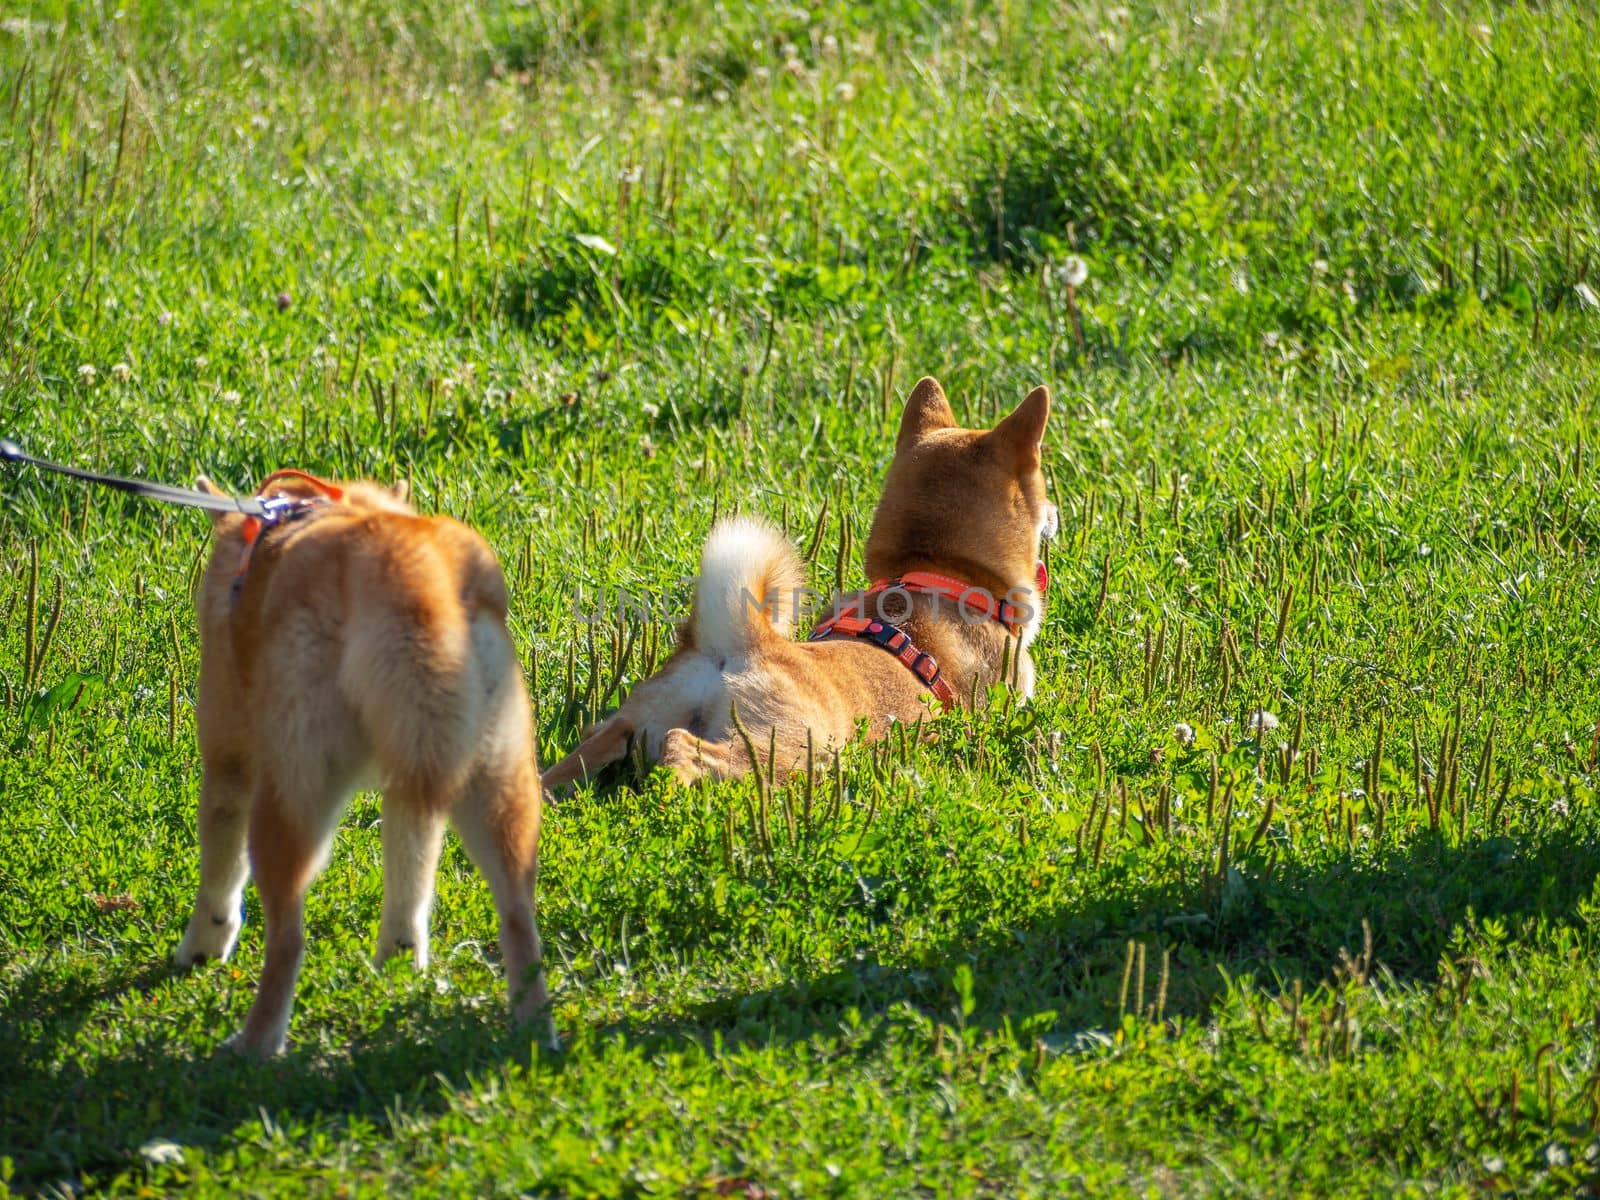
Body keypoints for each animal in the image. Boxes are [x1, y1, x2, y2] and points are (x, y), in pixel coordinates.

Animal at [174, 473, 550, 1056]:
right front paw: (401, 958)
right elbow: (411, 882)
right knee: (517, 921)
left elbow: (219, 875)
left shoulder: (229, 761)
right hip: (501, 793)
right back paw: (534, 1031)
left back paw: (254, 1044)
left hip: (290, 797)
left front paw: (203, 945)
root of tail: (418, 577)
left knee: (288, 940)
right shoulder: (410, 783)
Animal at [544, 376, 1056, 790]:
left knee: (584, 753)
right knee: (683, 751)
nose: (1055, 512)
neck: (934, 572)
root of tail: (740, 644)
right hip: (787, 750)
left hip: (628, 723)